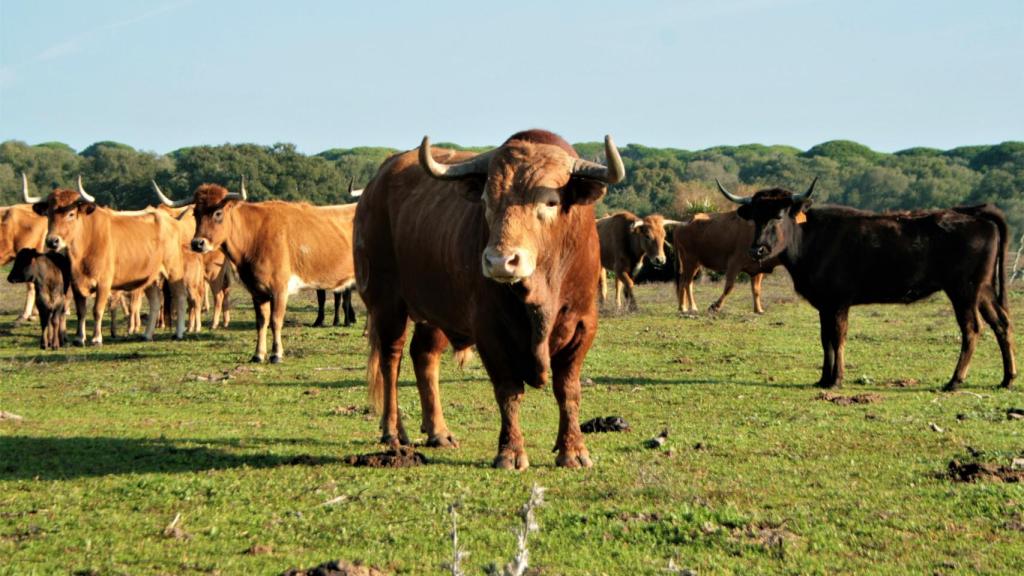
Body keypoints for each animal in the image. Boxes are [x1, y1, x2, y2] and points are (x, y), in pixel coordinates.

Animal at [24, 177, 188, 342]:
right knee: (155, 301)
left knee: (180, 297)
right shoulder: (76, 283)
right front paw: (80, 338)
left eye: (70, 214)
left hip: (173, 271)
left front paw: (96, 338)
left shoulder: (104, 283)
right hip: (150, 277)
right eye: (49, 214)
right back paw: (147, 335)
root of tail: (171, 220)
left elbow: (97, 310)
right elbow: (81, 311)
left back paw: (179, 332)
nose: (52, 241)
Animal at [153, 179, 358, 360]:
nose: (197, 243)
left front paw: (276, 354)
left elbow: (275, 321)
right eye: (196, 213)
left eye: (218, 213)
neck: (255, 235)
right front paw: (258, 354)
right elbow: (261, 322)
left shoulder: (280, 289)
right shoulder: (257, 291)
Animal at [356, 129, 618, 467]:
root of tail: (376, 185)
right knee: (391, 360)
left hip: (435, 311)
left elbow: (567, 389)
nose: (500, 261)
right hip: (387, 304)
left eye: (550, 201)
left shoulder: (583, 325)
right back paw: (392, 432)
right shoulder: (490, 331)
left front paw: (573, 450)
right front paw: (511, 452)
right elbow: (508, 390)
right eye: (486, 200)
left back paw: (438, 431)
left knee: (424, 356)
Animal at [720, 179, 1015, 389]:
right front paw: (823, 378)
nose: (757, 250)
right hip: (983, 290)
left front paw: (837, 379)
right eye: (755, 217)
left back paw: (955, 381)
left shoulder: (839, 302)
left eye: (779, 216)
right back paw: (1007, 379)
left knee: (972, 329)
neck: (811, 238)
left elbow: (838, 337)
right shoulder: (824, 304)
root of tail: (975, 213)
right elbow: (825, 338)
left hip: (963, 290)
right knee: (1001, 323)